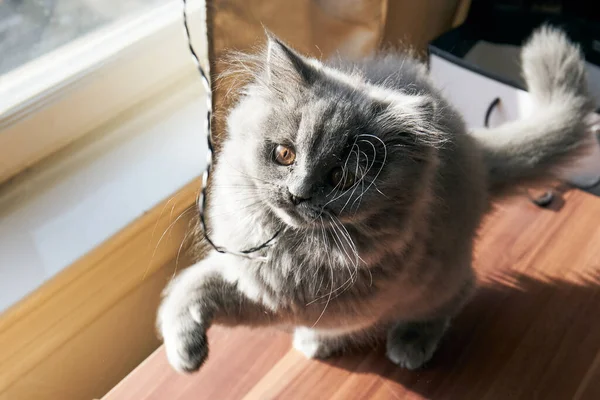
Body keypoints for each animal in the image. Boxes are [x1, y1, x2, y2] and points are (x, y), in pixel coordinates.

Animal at [158, 26, 596, 374]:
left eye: (341, 178)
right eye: (284, 154)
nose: (297, 194)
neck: (291, 246)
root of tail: (475, 153)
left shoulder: (296, 300)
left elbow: (214, 293)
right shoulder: (244, 267)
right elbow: (192, 285)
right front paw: (185, 350)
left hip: (436, 277)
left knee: (459, 290)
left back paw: (404, 341)